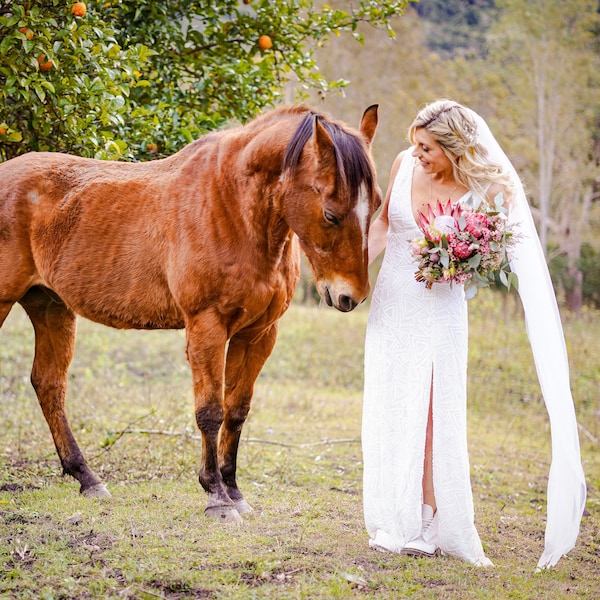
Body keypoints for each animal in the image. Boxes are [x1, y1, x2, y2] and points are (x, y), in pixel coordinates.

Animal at [1, 103, 380, 520]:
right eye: (330, 214)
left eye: (377, 205)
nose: (350, 296)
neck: (232, 206)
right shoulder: (207, 326)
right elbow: (210, 411)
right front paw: (216, 496)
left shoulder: (258, 334)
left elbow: (236, 410)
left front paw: (235, 492)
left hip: (50, 306)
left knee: (49, 384)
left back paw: (87, 478)